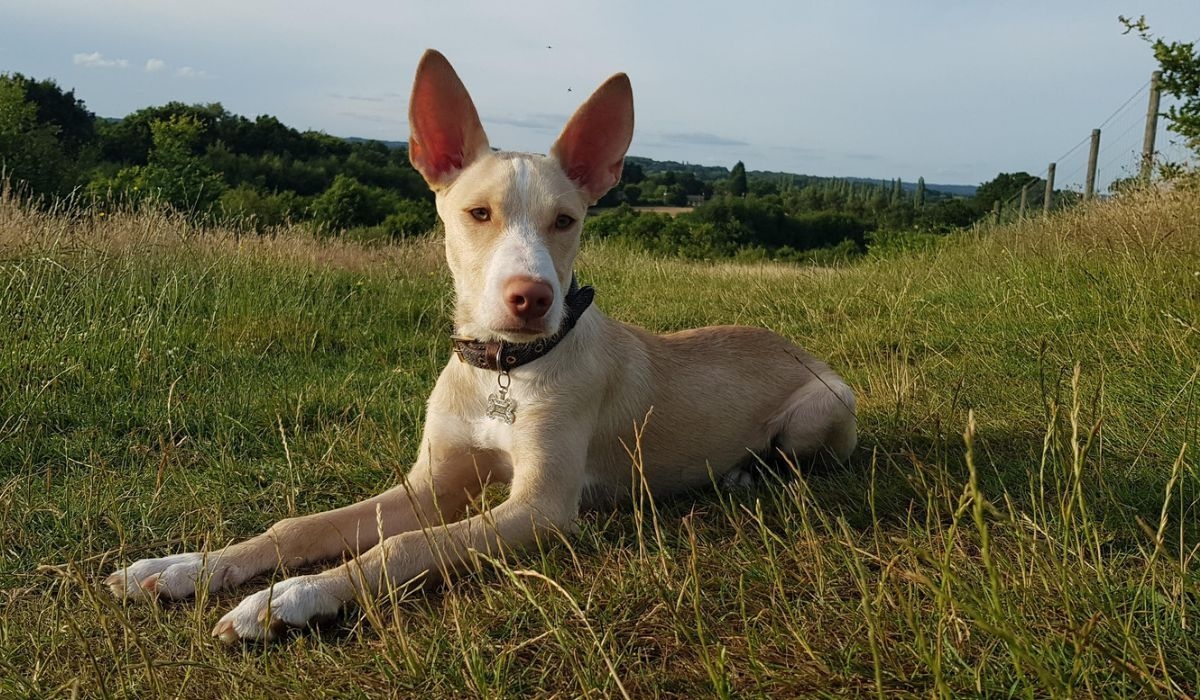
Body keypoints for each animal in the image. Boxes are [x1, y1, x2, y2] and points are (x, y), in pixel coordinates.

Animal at [103, 49, 854, 643]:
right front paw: (186, 567)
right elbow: (302, 527)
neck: (505, 371)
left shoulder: (539, 509)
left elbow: (405, 547)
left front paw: (290, 599)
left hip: (824, 408)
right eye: (478, 213)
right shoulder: (431, 484)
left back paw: (747, 473)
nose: (532, 298)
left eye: (566, 220)